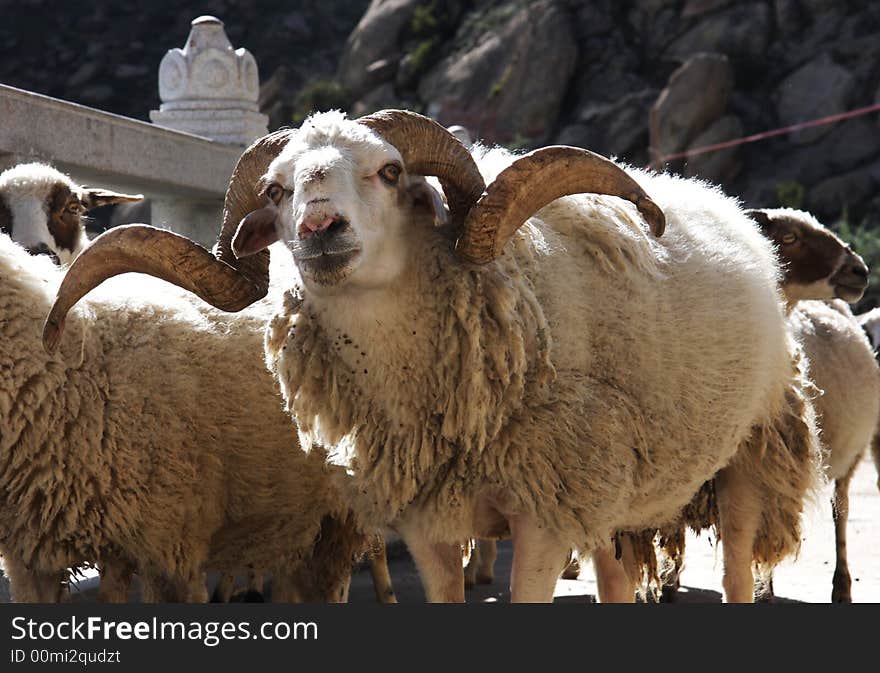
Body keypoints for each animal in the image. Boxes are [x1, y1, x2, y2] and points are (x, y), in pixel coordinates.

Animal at [43, 110, 820, 604]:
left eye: (390, 172)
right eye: (276, 189)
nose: (320, 228)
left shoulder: (541, 513)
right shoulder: (427, 521)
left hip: (749, 449)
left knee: (738, 575)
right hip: (609, 484)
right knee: (615, 580)